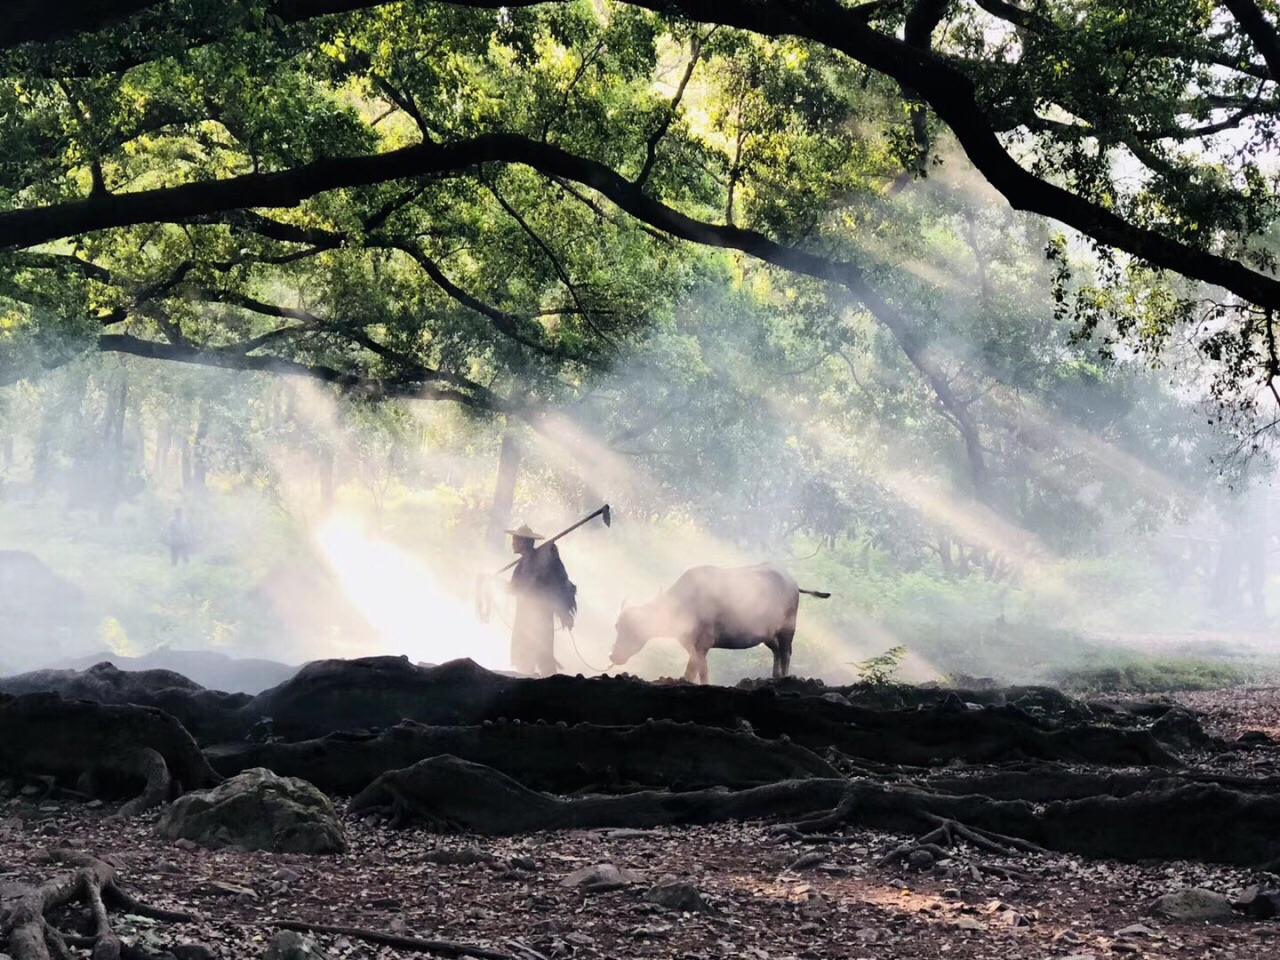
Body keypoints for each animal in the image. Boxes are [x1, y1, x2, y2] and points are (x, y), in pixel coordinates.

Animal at [609, 563, 829, 686]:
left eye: (632, 629)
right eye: (617, 627)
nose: (614, 655)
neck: (684, 602)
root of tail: (793, 583)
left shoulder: (704, 641)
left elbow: (691, 670)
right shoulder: (693, 645)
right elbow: (703, 669)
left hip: (787, 629)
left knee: (786, 653)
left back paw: (784, 677)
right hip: (769, 635)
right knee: (776, 652)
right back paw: (774, 677)